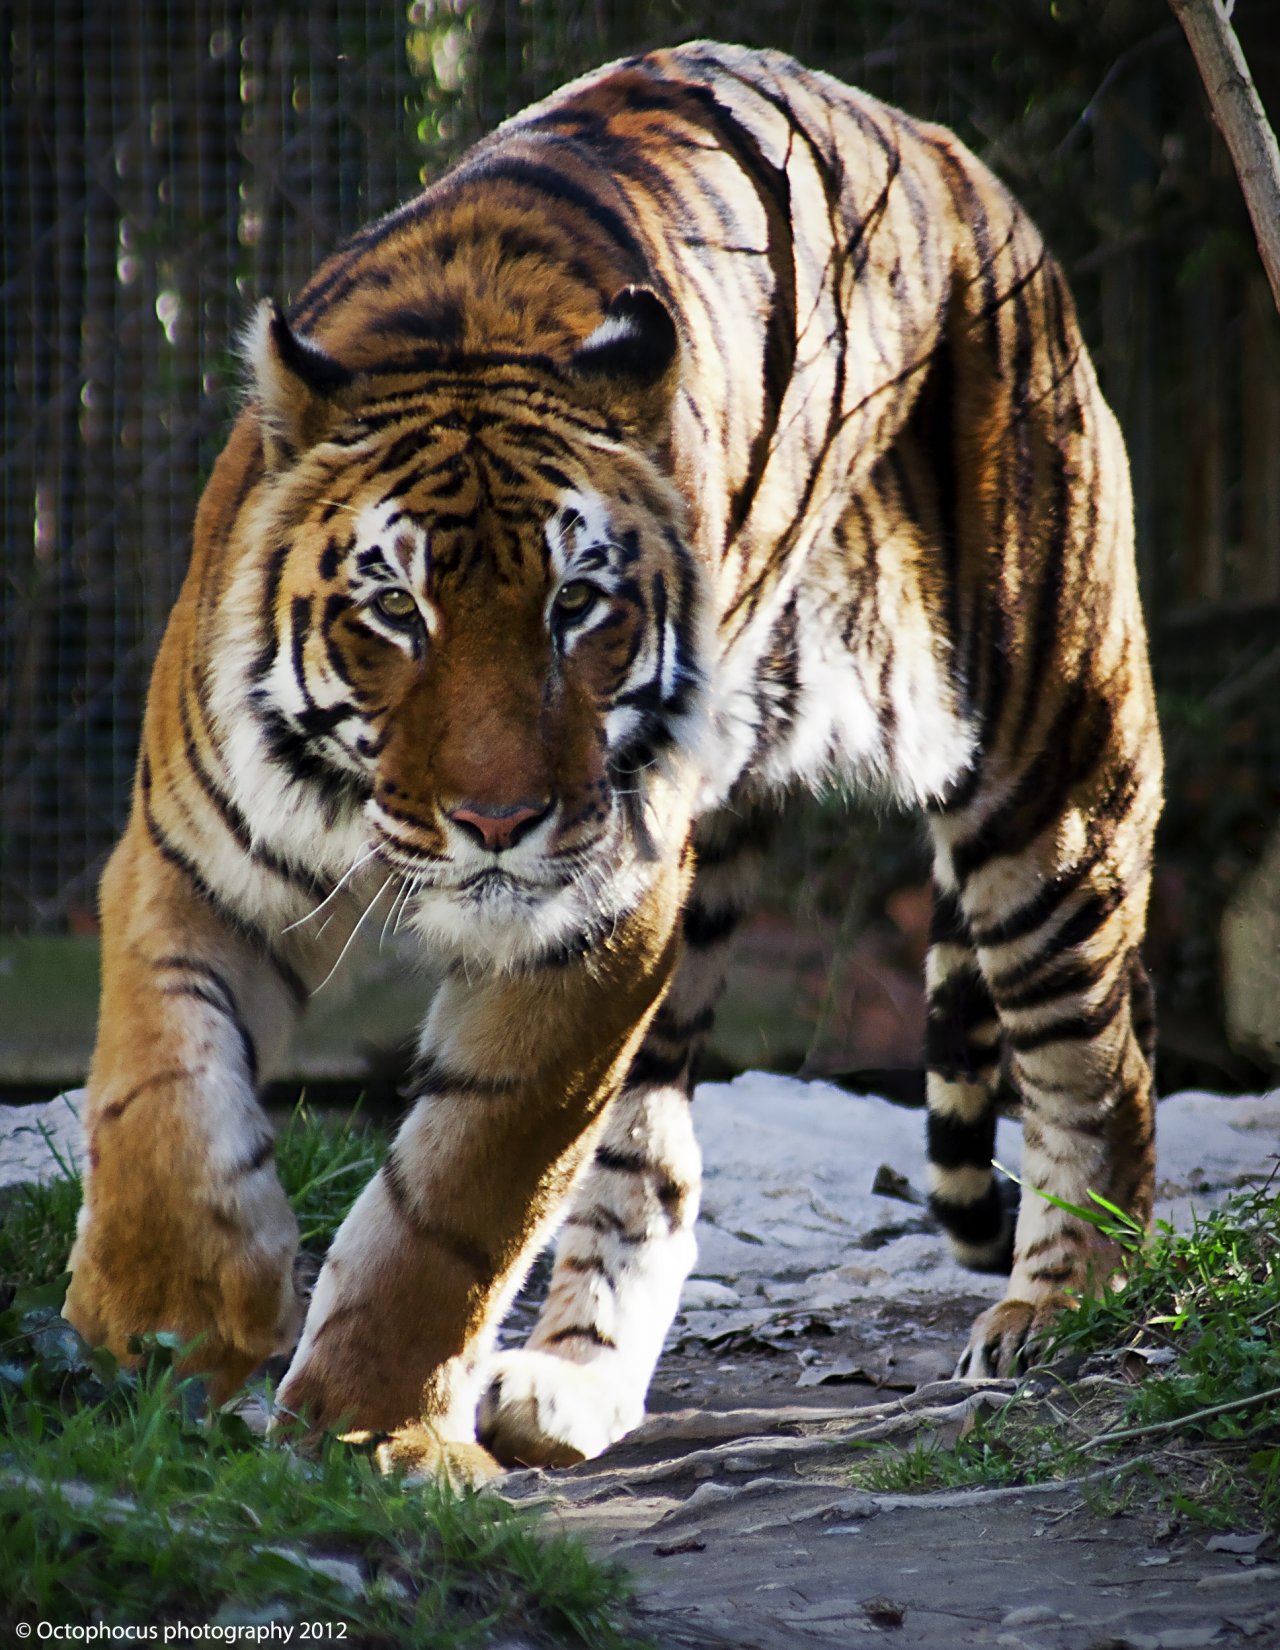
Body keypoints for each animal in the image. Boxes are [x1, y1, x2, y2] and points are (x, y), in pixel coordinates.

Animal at [62, 41, 1161, 1485]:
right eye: (394, 610)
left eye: (574, 606)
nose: (497, 818)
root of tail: (946, 153)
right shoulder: (187, 857)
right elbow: (160, 1089)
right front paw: (165, 1317)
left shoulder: (592, 922)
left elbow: (462, 1194)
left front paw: (372, 1428)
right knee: (661, 1158)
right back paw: (569, 1384)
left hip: (1049, 769)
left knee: (1100, 1068)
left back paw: (1061, 1303)